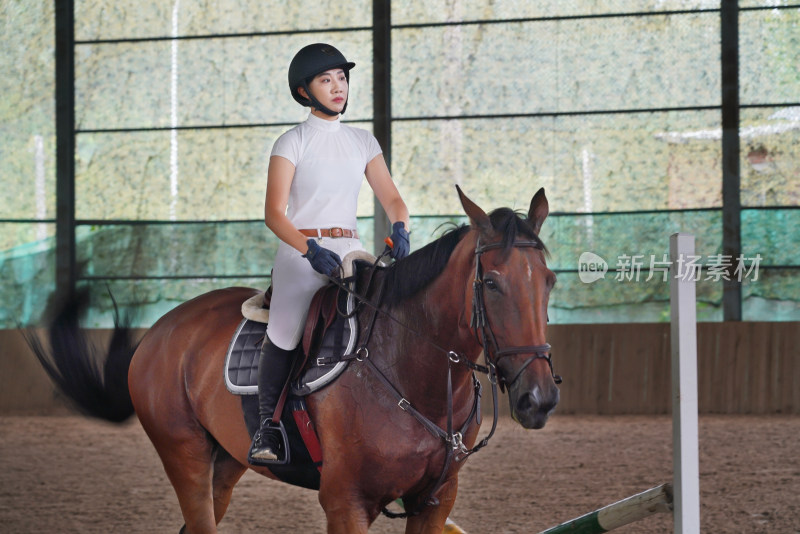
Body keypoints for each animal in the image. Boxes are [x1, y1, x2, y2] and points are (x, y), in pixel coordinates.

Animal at [29, 188, 556, 534]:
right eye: (491, 283)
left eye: (549, 279)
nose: (540, 398)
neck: (411, 371)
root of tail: (160, 331)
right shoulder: (346, 503)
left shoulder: (435, 501)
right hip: (184, 455)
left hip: (226, 462)